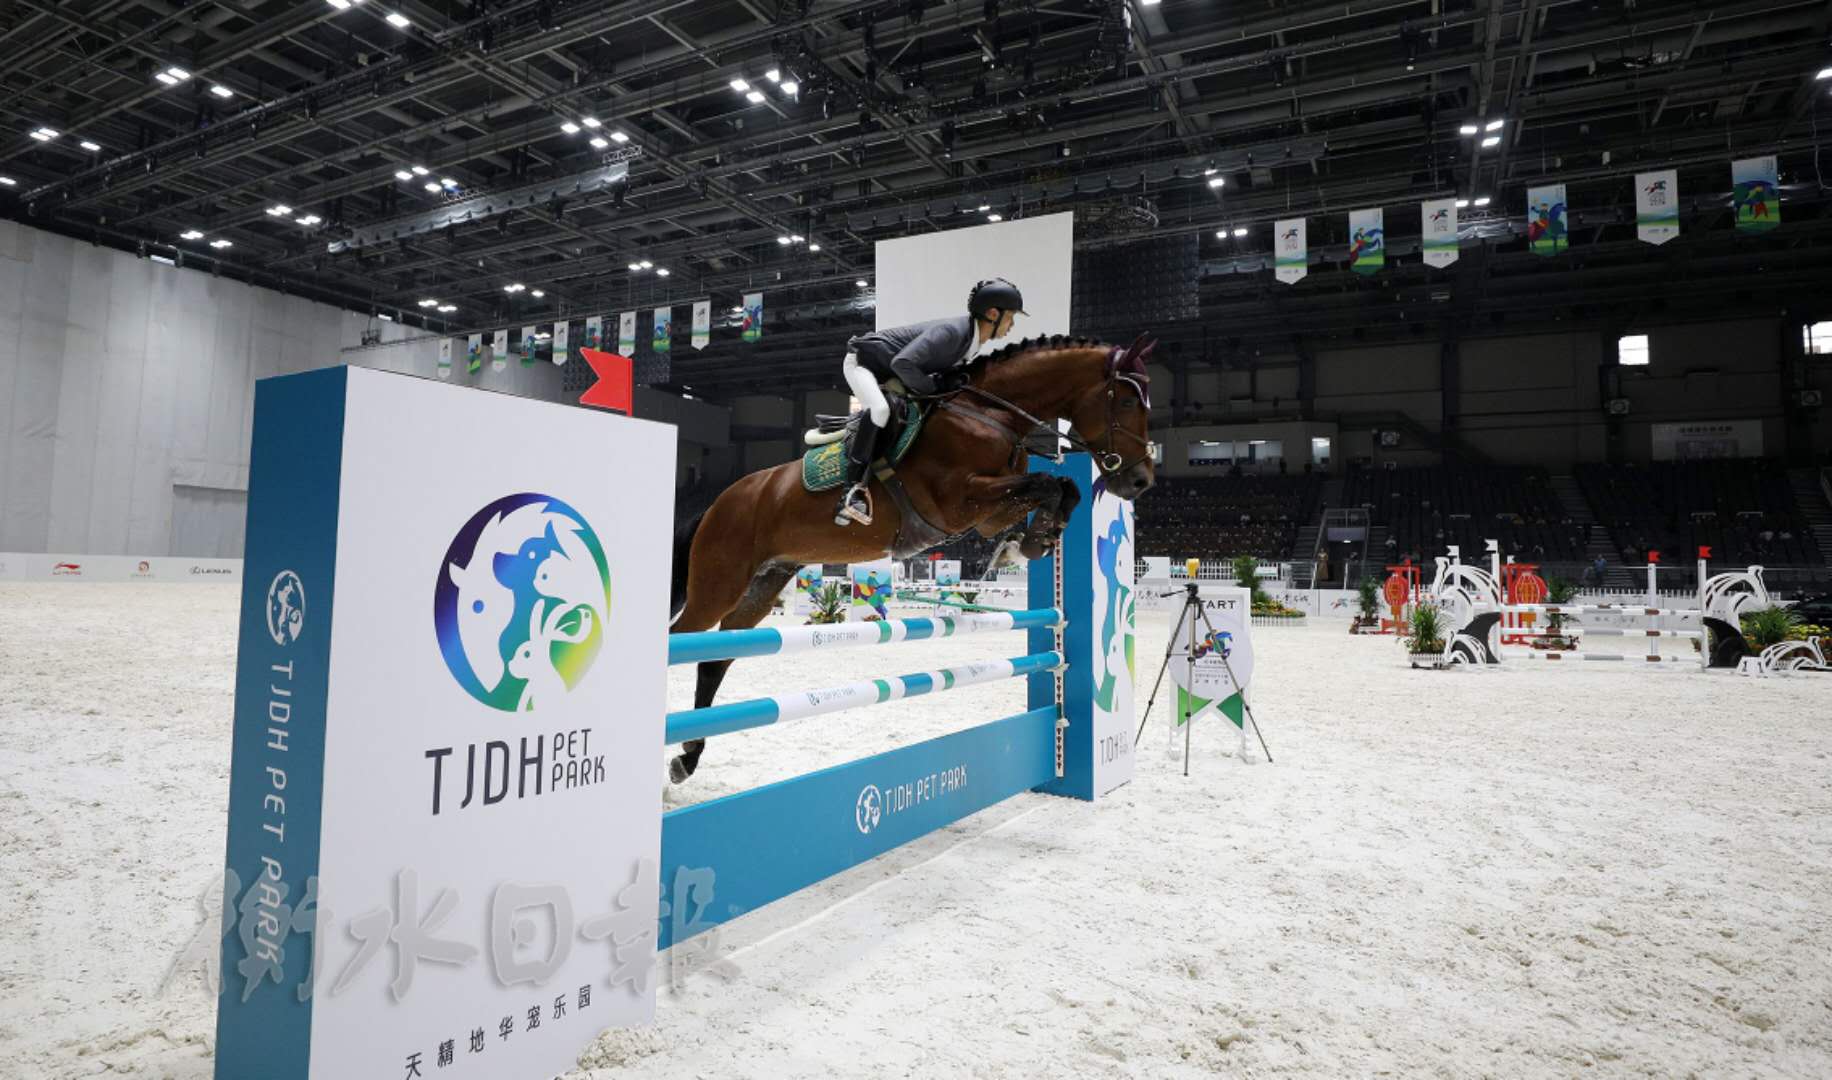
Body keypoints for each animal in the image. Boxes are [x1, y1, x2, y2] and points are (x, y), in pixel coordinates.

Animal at [665, 334, 1159, 783]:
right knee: (683, 639)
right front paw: (1034, 538)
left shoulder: (986, 517)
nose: (1140, 482)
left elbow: (1061, 488)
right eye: (1126, 401)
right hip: (720, 582)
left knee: (715, 658)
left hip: (763, 585)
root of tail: (718, 501)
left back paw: (687, 757)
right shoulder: (961, 501)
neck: (991, 417)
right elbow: (1045, 482)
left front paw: (1034, 539)